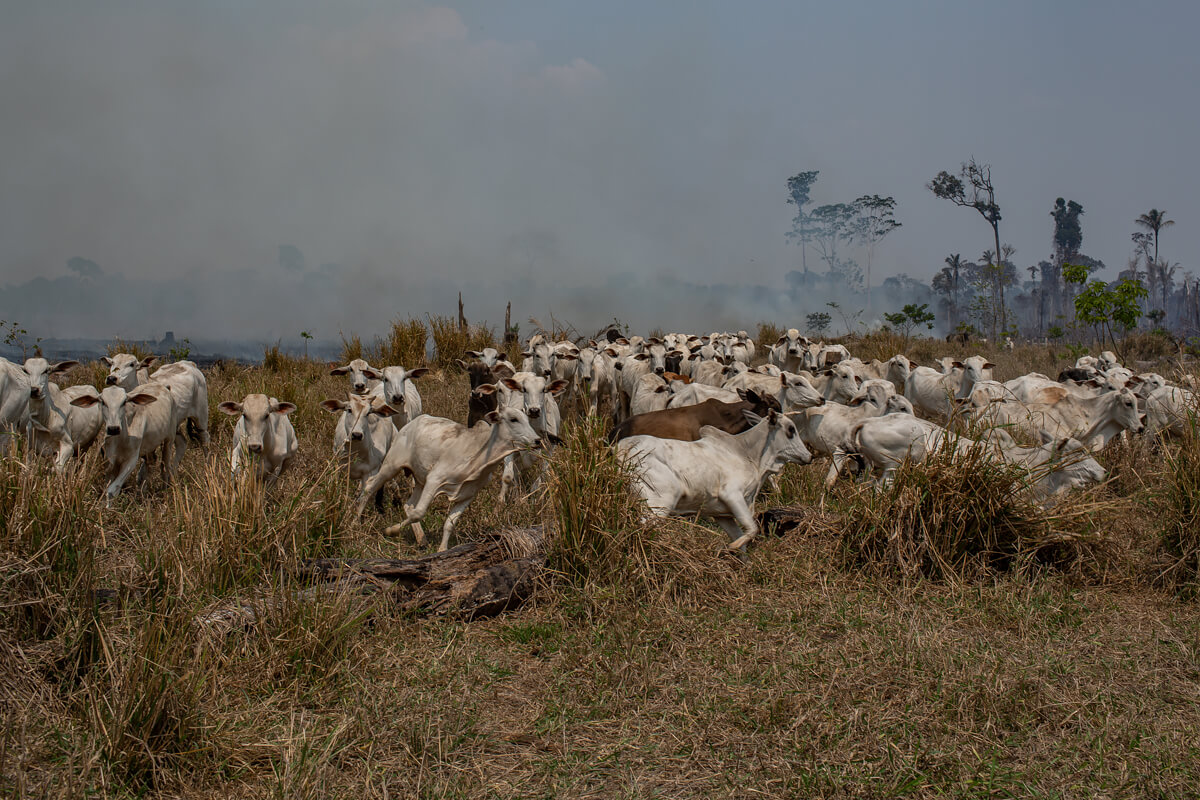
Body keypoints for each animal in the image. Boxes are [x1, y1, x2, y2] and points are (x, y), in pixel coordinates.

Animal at [360, 412, 540, 551]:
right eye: (513, 419)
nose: (537, 440)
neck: (480, 453)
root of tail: (411, 424)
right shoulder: (434, 480)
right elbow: (419, 513)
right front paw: (391, 530)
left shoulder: (468, 494)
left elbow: (449, 523)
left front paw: (442, 549)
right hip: (391, 466)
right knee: (370, 488)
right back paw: (357, 520)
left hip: (420, 481)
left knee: (408, 505)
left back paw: (421, 539)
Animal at [619, 410, 816, 554]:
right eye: (790, 430)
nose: (809, 456)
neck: (748, 454)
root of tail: (622, 450)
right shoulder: (732, 495)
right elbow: (752, 530)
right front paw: (726, 549)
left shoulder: (722, 513)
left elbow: (742, 541)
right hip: (657, 506)